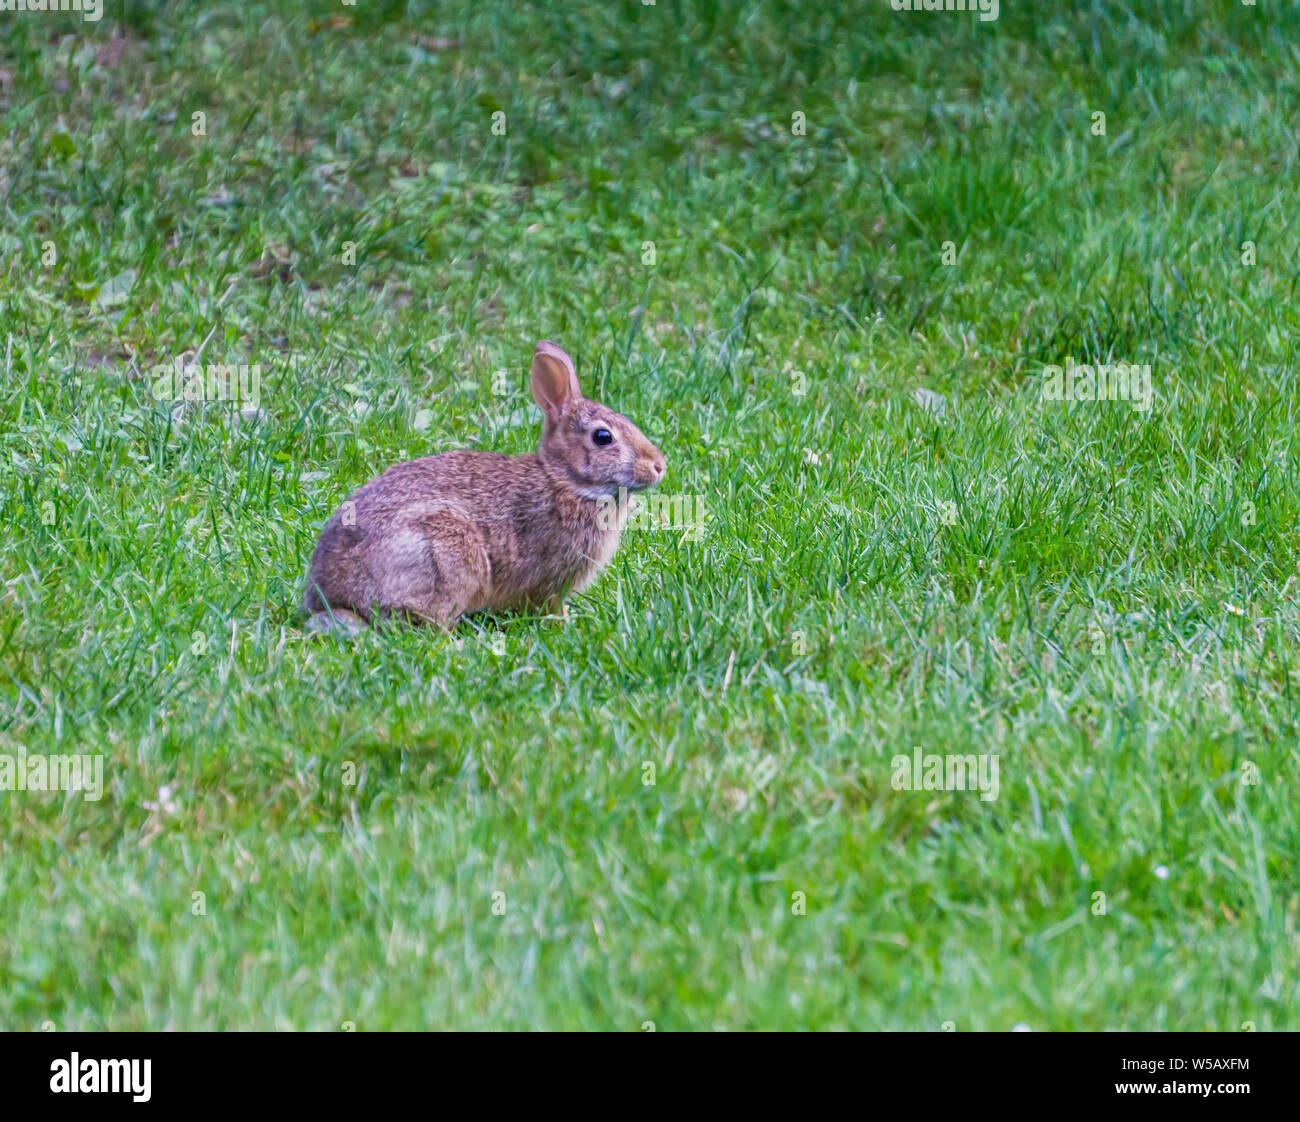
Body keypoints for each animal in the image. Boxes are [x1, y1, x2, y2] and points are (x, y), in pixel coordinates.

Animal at [302, 340, 666, 632]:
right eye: (603, 437)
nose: (659, 465)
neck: (566, 481)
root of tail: (330, 598)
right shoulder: (549, 580)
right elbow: (549, 605)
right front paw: (566, 625)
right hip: (446, 554)